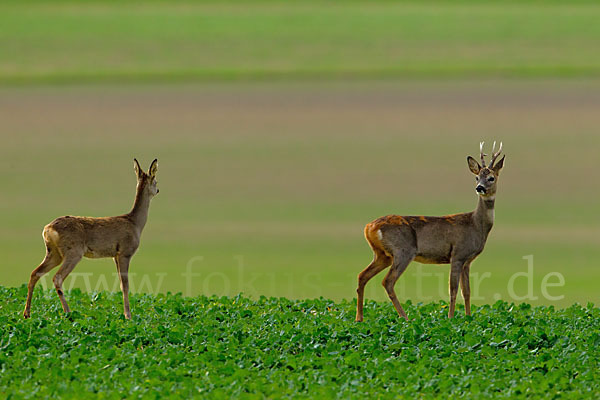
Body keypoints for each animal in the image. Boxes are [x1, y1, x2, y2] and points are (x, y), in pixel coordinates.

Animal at [23, 159, 159, 318]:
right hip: (73, 252)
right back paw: (68, 313)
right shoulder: (125, 252)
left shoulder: (115, 256)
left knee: (35, 273)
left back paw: (27, 314)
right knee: (57, 277)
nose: (158, 190)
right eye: (155, 180)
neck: (135, 223)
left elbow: (120, 283)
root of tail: (48, 228)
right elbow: (125, 285)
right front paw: (128, 316)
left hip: (54, 253)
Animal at [356, 142, 506, 320]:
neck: (475, 224)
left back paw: (359, 318)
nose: (480, 188)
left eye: (491, 177)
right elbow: (453, 289)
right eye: (477, 177)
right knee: (388, 281)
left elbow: (467, 292)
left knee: (362, 275)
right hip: (403, 250)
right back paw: (405, 318)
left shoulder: (467, 260)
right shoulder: (458, 254)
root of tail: (369, 227)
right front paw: (450, 318)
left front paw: (468, 317)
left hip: (382, 254)